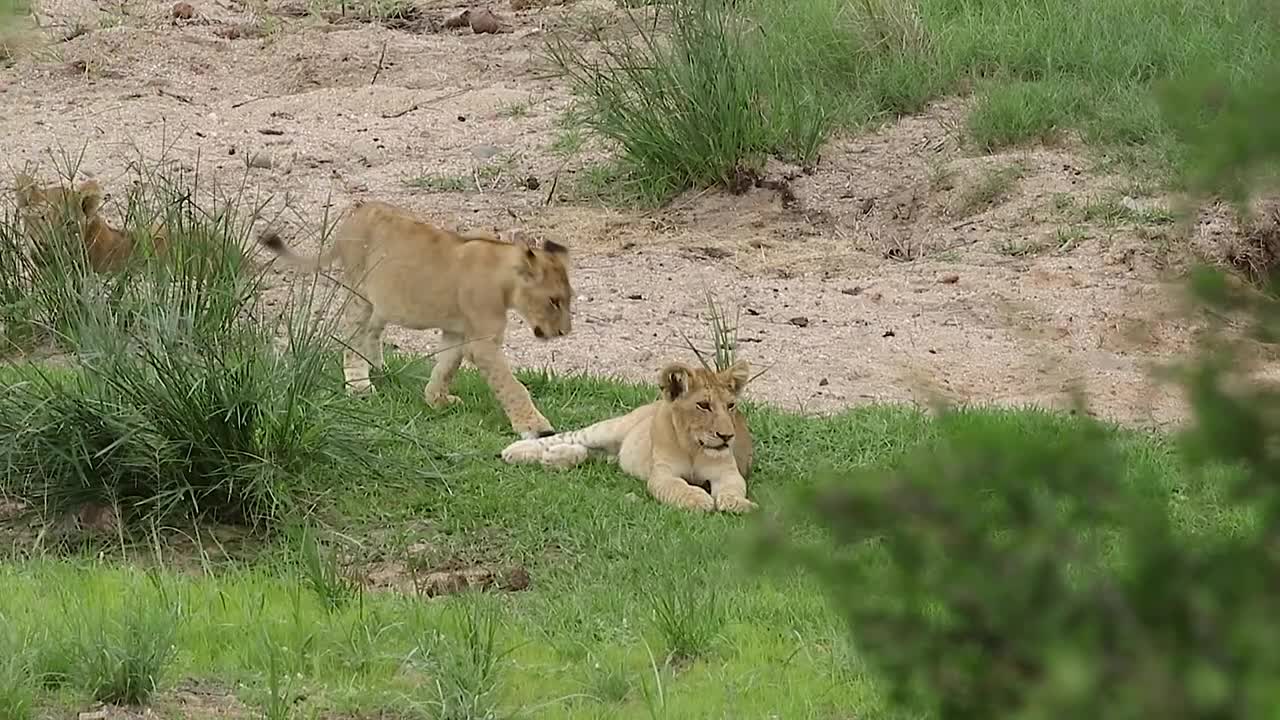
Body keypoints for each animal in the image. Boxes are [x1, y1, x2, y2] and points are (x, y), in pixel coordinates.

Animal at [258, 198, 576, 440]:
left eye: (568, 299)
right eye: (554, 301)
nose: (563, 332)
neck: (504, 277)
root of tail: (353, 214)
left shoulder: (458, 332)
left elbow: (446, 367)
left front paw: (437, 400)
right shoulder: (483, 342)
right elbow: (511, 386)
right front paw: (536, 428)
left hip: (381, 300)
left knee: (371, 332)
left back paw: (378, 367)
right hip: (358, 291)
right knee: (351, 338)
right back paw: (359, 385)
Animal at [499, 353, 757, 509]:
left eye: (730, 405)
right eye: (703, 405)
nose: (727, 436)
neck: (693, 447)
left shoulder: (727, 472)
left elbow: (734, 489)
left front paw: (739, 504)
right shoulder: (662, 474)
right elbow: (677, 487)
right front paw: (697, 499)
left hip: (614, 453)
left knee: (592, 454)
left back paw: (556, 459)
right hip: (609, 429)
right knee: (570, 436)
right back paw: (517, 451)